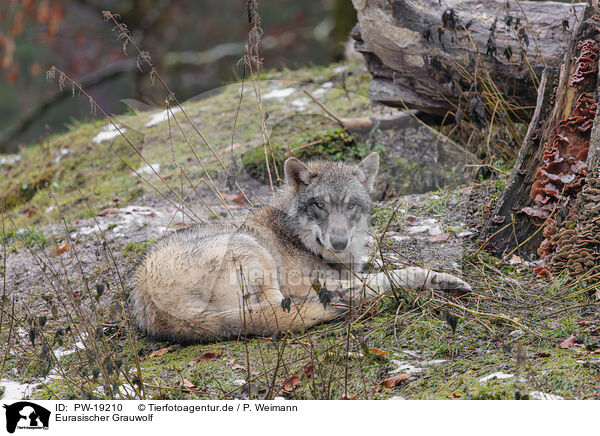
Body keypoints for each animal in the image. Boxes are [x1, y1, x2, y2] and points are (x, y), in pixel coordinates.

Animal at [132, 153, 474, 344]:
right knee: (288, 307)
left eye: (351, 205)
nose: (339, 242)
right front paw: (438, 278)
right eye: (320, 205)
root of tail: (150, 300)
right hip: (252, 250)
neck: (297, 236)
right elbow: (394, 275)